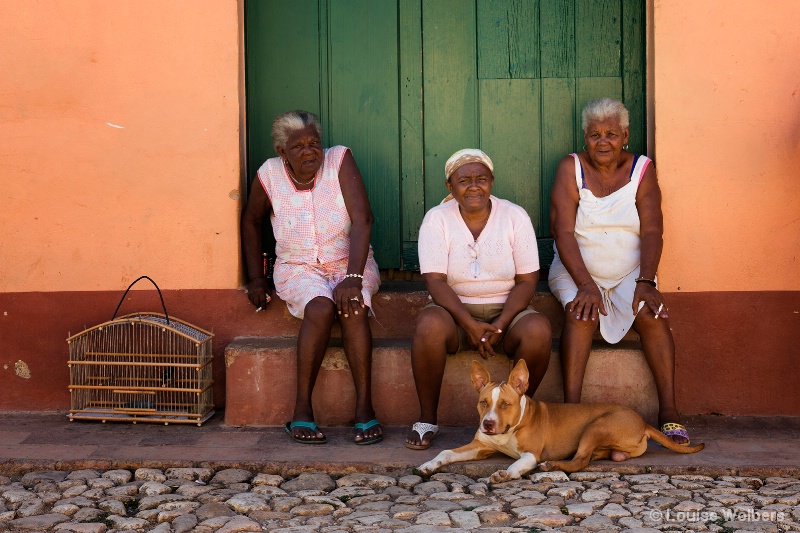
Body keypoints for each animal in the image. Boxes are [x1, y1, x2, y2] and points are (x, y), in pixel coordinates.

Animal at [416, 358, 704, 482]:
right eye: (483, 402)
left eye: (506, 404)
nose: (487, 424)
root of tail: (643, 422)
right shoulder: (480, 446)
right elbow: (445, 452)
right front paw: (429, 465)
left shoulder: (531, 453)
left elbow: (517, 464)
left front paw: (506, 474)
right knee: (588, 458)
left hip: (595, 426)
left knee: (579, 462)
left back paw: (551, 465)